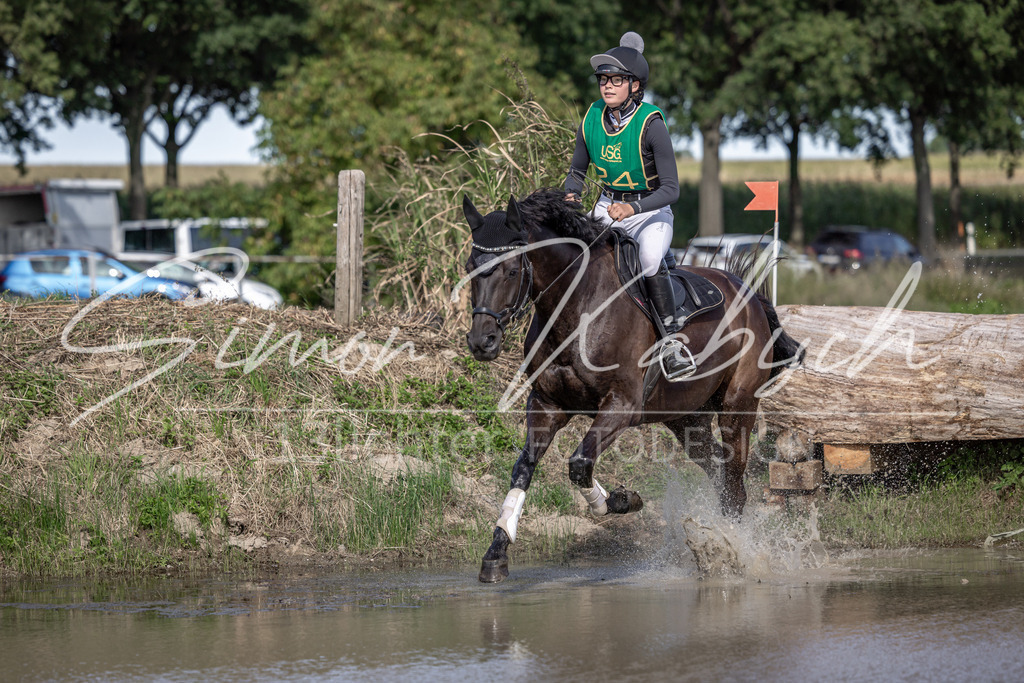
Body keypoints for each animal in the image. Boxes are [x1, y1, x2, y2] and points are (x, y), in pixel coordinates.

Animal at [461, 188, 804, 583]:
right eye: (470, 269)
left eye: (512, 270)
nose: (482, 342)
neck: (576, 309)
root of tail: (747, 293)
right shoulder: (547, 404)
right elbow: (524, 468)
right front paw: (496, 553)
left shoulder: (620, 406)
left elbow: (579, 464)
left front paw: (622, 501)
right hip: (686, 418)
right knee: (717, 468)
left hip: (737, 407)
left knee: (734, 480)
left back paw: (736, 553)